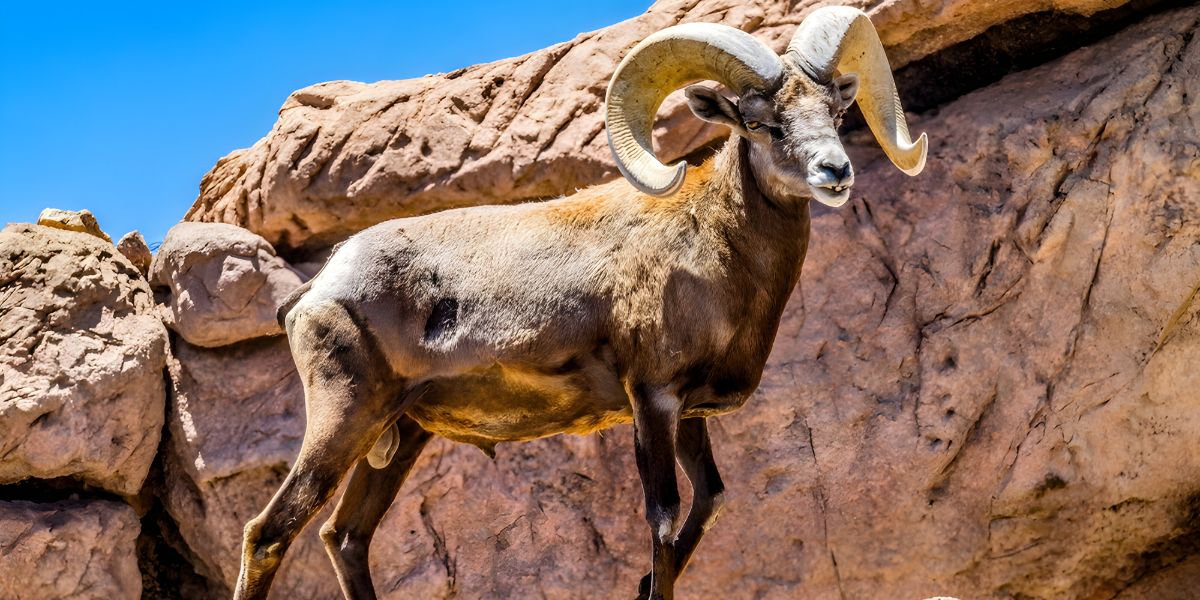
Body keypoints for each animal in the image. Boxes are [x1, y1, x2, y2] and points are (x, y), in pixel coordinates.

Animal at [233, 6, 927, 600]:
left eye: (834, 111)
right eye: (759, 122)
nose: (835, 172)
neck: (712, 249)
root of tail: (322, 286)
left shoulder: (690, 415)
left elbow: (707, 504)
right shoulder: (653, 400)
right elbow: (663, 516)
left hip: (400, 435)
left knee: (345, 537)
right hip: (345, 418)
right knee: (270, 533)